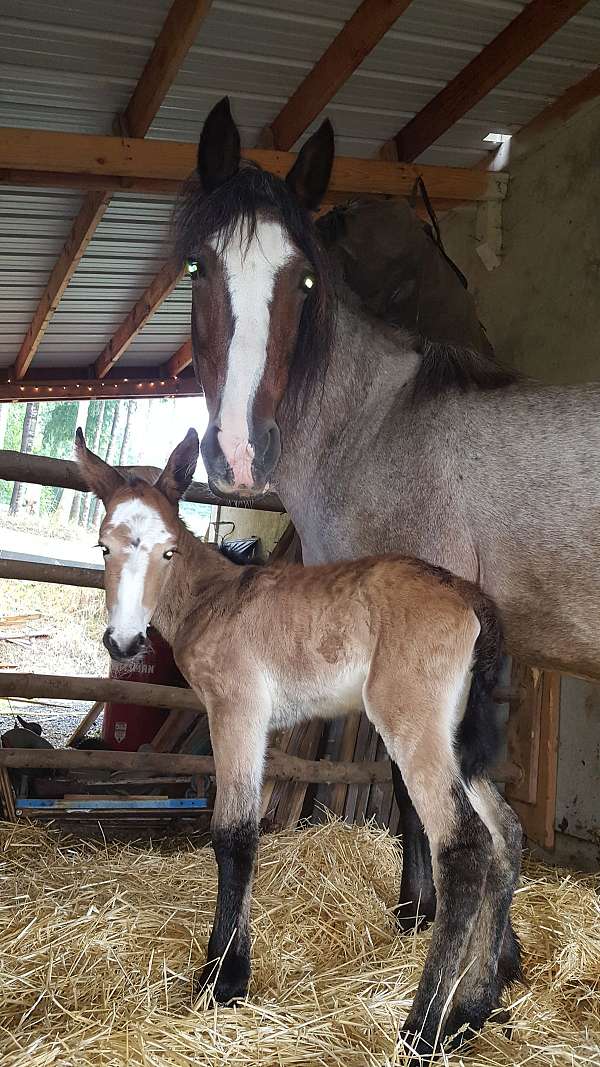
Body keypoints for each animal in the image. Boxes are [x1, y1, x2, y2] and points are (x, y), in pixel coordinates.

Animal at [76, 425, 522, 1058]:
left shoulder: (237, 709)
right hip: (457, 737)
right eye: (103, 548)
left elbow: (234, 833)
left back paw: (422, 1030)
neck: (215, 597)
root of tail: (468, 597)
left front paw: (223, 981)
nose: (124, 641)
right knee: (505, 832)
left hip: (414, 723)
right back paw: (472, 1012)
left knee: (464, 846)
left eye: (168, 550)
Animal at [175, 97, 600, 931]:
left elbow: (411, 783)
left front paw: (415, 910)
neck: (375, 425)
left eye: (304, 279)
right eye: (198, 266)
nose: (240, 450)